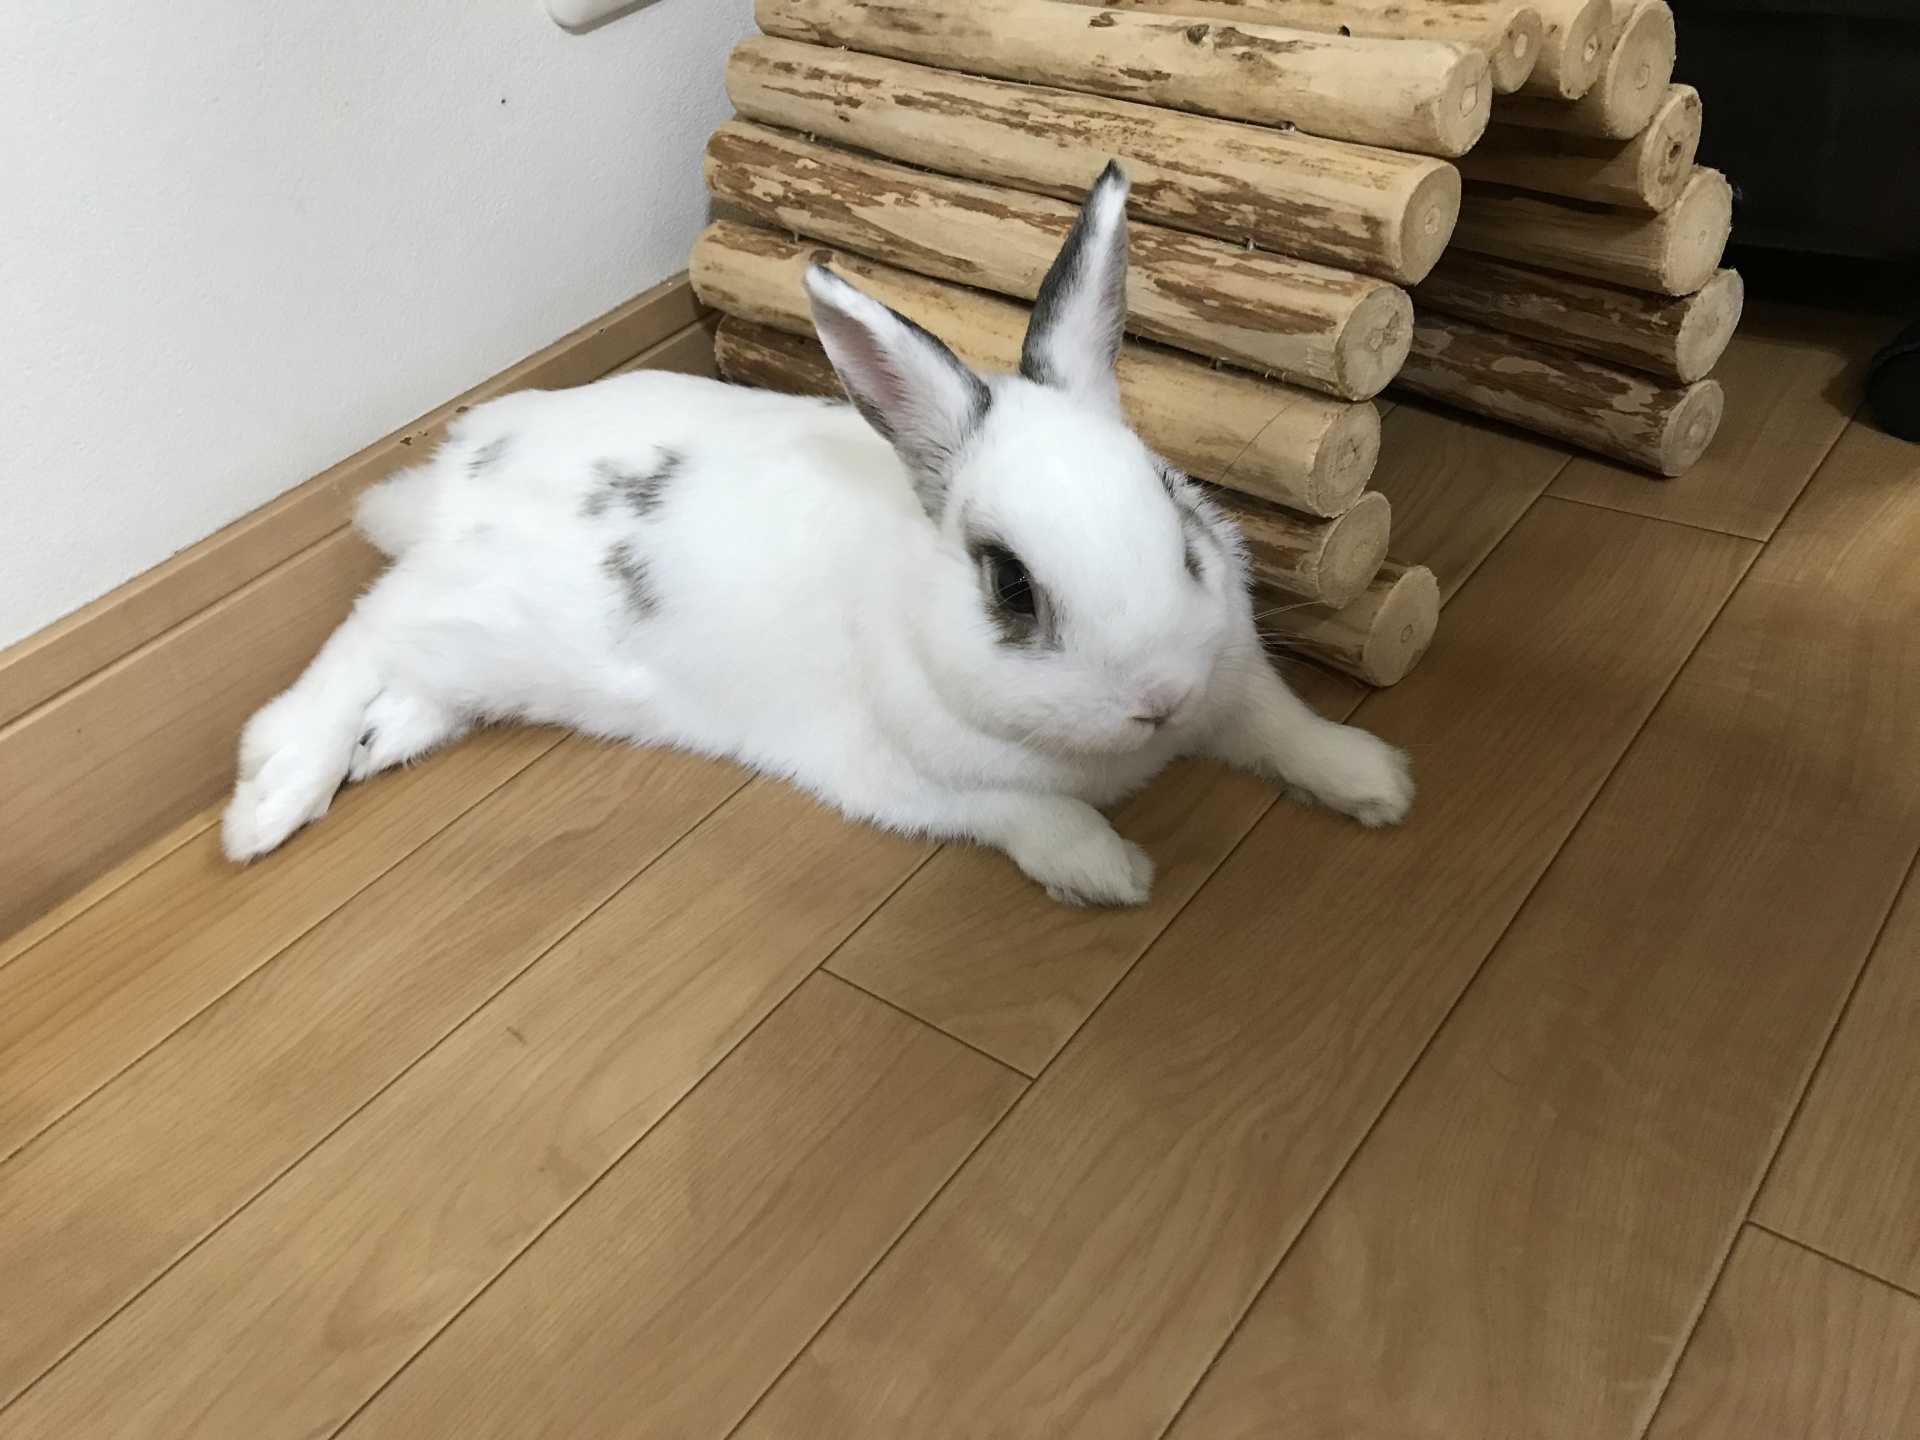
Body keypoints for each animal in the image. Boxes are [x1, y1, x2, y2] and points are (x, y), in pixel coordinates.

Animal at [221, 163, 1412, 906]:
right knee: (361, 633)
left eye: (1177, 515)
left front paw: (1378, 785)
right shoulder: (912, 780)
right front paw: (1109, 873)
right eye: (1010, 586)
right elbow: (1026, 815)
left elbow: (1288, 727)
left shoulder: (1237, 683)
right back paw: (273, 794)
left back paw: (380, 742)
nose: (1158, 696)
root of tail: (459, 473)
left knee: (405, 667)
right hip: (483, 604)